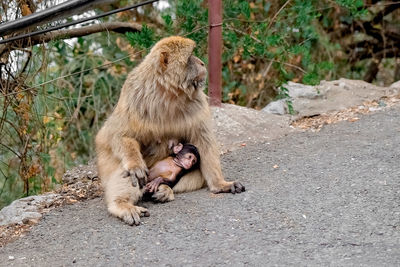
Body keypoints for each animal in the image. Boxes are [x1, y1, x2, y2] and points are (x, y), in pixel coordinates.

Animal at [96, 36, 245, 226]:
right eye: (190, 57)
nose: (202, 63)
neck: (169, 92)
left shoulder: (197, 102)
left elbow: (203, 141)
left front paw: (220, 184)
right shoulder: (135, 96)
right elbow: (117, 134)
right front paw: (135, 165)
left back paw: (164, 189)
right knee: (126, 172)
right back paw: (122, 204)